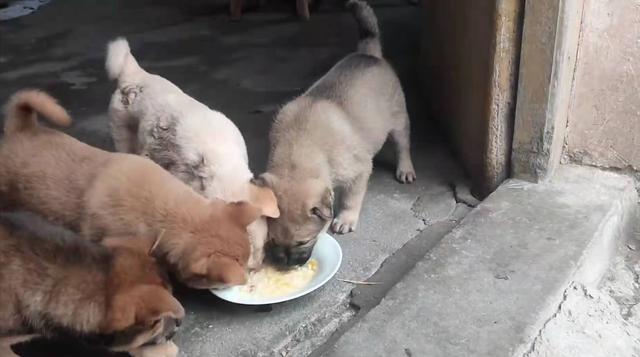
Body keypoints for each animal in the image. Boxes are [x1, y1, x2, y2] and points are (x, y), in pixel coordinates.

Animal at [258, 0, 418, 266]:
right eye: (272, 239)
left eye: (303, 242)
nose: (286, 264)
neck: (299, 150)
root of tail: (369, 54)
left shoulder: (359, 171)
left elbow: (352, 196)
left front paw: (346, 218)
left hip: (398, 120)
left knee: (402, 144)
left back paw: (405, 168)